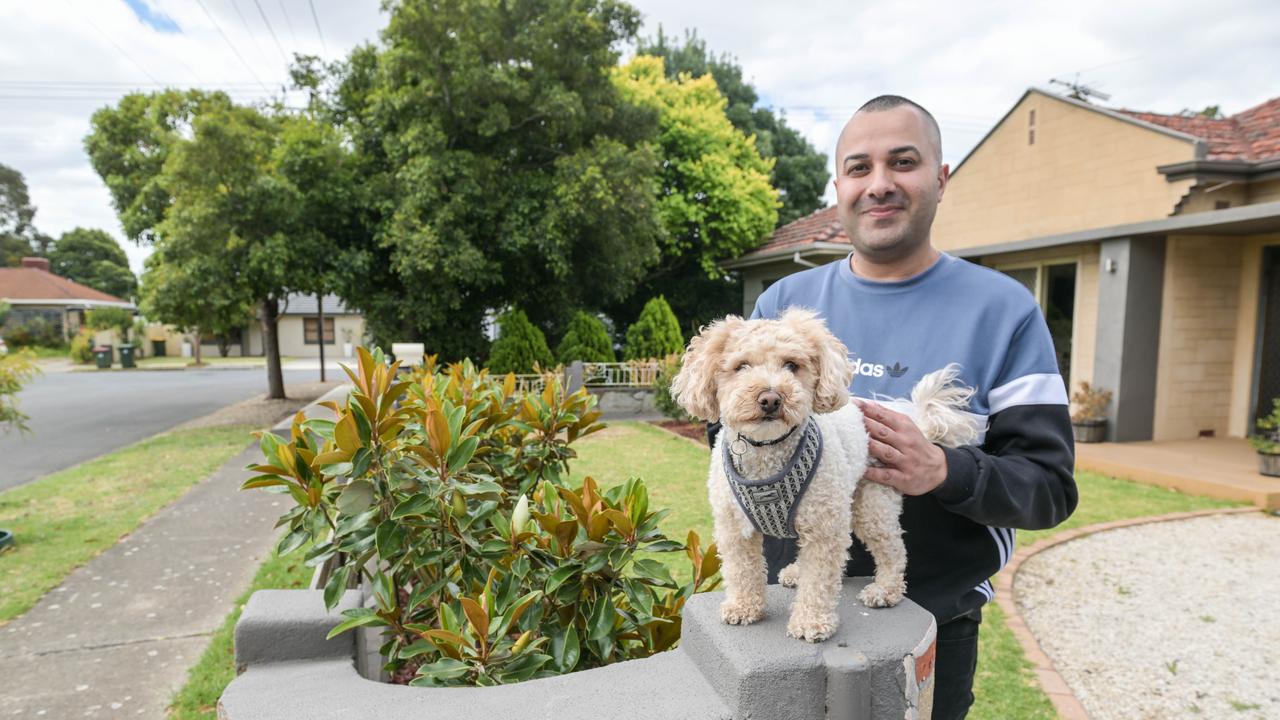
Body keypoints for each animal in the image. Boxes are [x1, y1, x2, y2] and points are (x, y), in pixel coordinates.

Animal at [670, 307, 977, 638]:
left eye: (792, 365)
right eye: (741, 366)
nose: (770, 398)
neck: (768, 453)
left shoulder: (824, 530)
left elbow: (818, 580)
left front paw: (811, 622)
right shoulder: (734, 528)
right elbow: (742, 571)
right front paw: (743, 607)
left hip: (871, 504)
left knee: (894, 550)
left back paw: (885, 591)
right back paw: (795, 573)